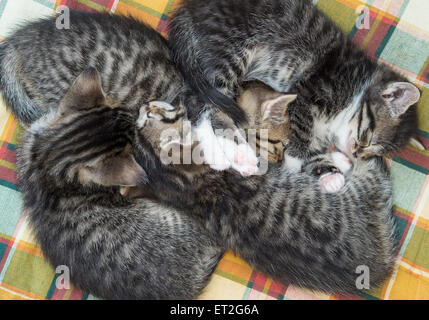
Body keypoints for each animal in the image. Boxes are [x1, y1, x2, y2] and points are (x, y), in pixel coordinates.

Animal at [134, 101, 398, 294]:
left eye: (148, 114)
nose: (145, 105)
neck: (180, 180)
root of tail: (381, 266)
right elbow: (218, 129)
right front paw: (235, 156)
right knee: (356, 165)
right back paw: (339, 165)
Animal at [168, 0, 422, 172]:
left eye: (373, 152)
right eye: (369, 138)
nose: (358, 152)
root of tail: (187, 10)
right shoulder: (307, 91)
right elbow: (302, 134)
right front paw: (292, 165)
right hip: (231, 48)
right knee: (200, 101)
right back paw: (228, 153)